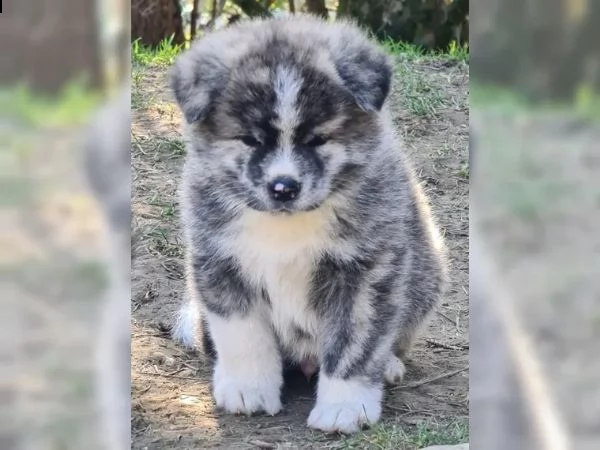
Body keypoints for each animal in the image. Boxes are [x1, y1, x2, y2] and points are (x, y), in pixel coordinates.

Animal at [169, 15, 446, 434]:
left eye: (318, 139)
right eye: (251, 140)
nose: (283, 187)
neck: (287, 225)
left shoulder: (364, 271)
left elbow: (354, 344)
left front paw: (344, 406)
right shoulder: (220, 260)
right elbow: (243, 335)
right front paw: (248, 388)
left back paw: (389, 364)